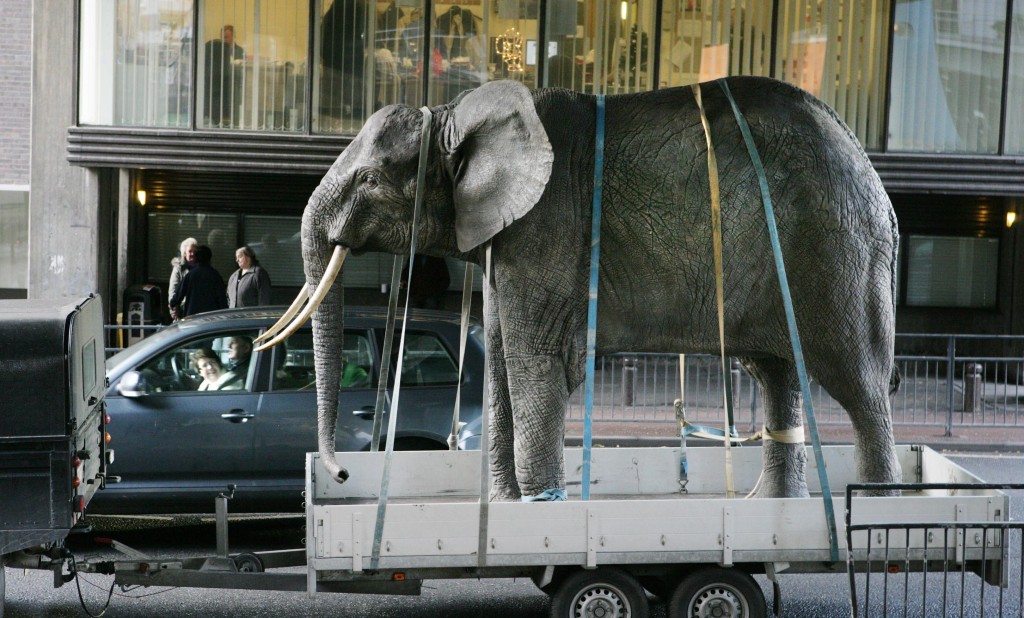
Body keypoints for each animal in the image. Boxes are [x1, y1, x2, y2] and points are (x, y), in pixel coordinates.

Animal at [266, 77, 905, 501]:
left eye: (371, 180)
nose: (342, 472)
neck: (454, 114)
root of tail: (864, 157)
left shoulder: (544, 229)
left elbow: (532, 362)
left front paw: (536, 514)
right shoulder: (506, 242)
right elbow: (500, 361)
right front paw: (505, 508)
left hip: (836, 247)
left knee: (861, 384)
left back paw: (875, 505)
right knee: (777, 375)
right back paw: (776, 508)